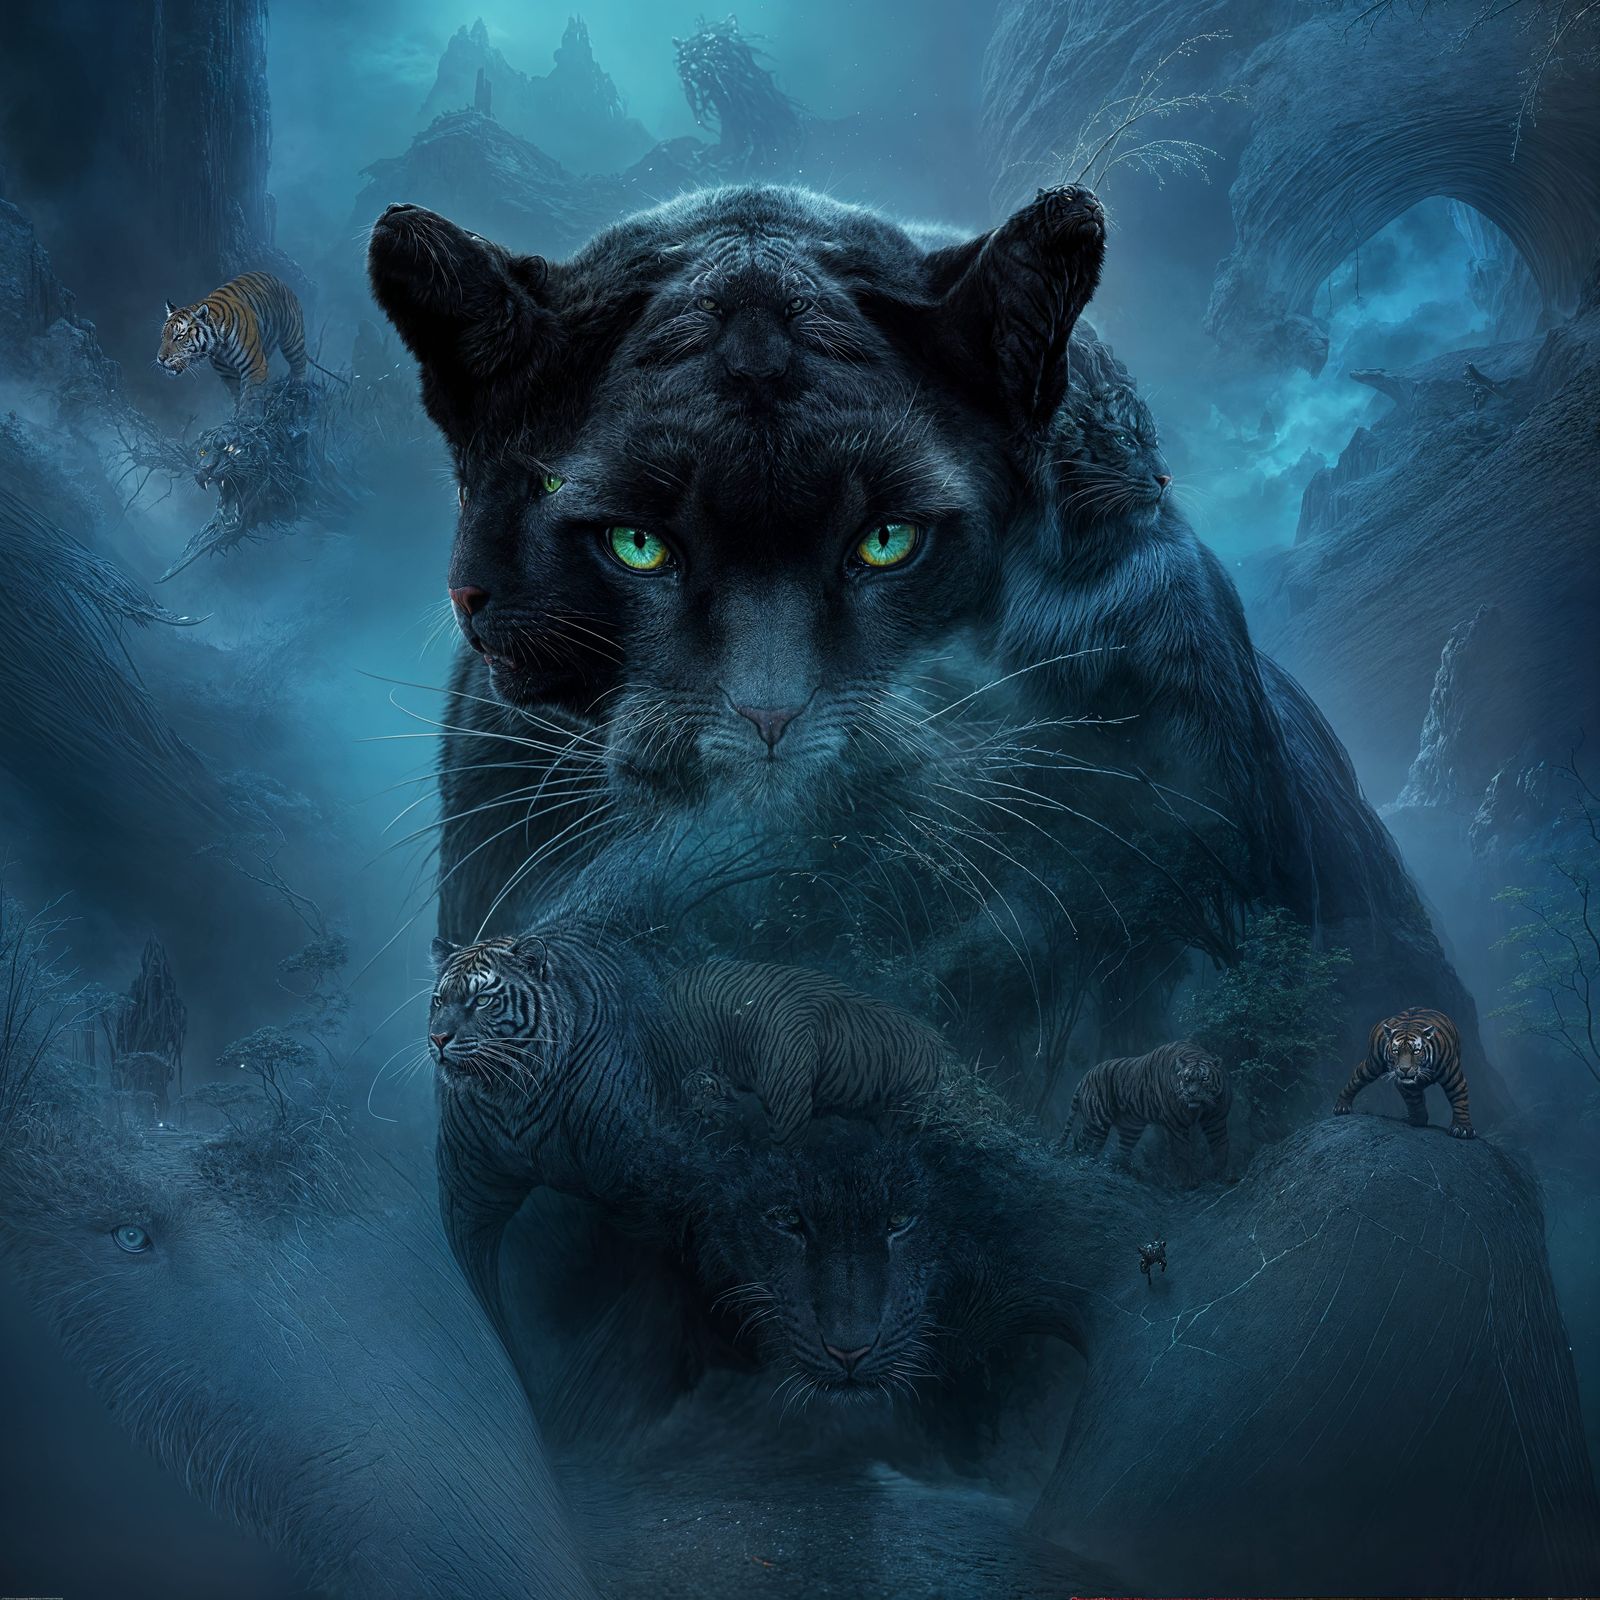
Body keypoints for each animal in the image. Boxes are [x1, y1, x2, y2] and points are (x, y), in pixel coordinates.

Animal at [157, 272, 309, 405]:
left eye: (179, 336)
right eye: (163, 336)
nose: (160, 358)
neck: (219, 348)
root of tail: (280, 281)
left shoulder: (254, 367)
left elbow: (249, 399)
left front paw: (248, 418)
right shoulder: (228, 374)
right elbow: (238, 395)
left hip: (292, 340)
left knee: (299, 364)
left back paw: (296, 390)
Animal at [657, 958, 953, 1144]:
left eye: (706, 1088)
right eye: (690, 1091)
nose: (697, 1111)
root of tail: (942, 1047)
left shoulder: (790, 1105)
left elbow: (786, 1155)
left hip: (904, 1115)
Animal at [1062, 1041, 1232, 1176]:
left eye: (1204, 1079)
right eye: (1187, 1079)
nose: (1192, 1093)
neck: (1199, 1108)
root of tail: (1085, 1076)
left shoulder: (1216, 1121)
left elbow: (1220, 1147)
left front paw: (1221, 1176)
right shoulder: (1176, 1126)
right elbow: (1182, 1154)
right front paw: (1188, 1182)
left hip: (1130, 1129)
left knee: (1120, 1151)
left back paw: (1123, 1170)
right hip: (1097, 1123)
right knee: (1081, 1141)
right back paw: (1081, 1162)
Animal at [1333, 1007, 1473, 1138]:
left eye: (1416, 1051)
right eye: (1396, 1051)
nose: (1404, 1069)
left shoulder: (1453, 1075)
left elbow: (1459, 1099)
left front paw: (1462, 1128)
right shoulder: (1407, 1085)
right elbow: (1414, 1100)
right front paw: (1418, 1120)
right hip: (1373, 1063)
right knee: (1357, 1077)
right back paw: (1341, 1107)